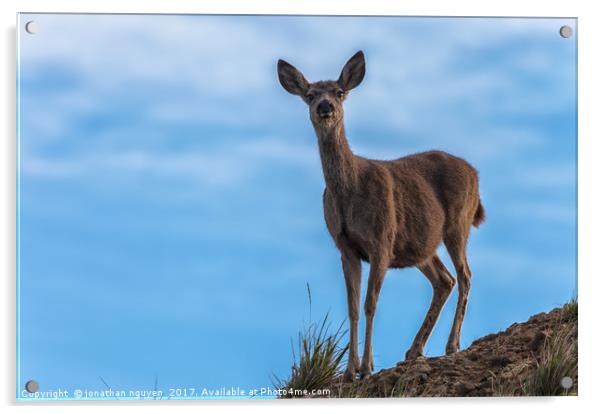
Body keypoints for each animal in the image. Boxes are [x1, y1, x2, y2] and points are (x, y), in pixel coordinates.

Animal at [276, 50, 482, 380]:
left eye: (339, 92)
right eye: (309, 95)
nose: (325, 106)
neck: (349, 190)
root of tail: (474, 173)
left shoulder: (381, 241)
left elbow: (370, 303)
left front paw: (366, 367)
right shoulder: (346, 247)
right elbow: (352, 307)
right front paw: (350, 372)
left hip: (458, 223)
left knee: (465, 275)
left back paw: (452, 345)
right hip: (420, 244)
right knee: (444, 280)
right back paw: (413, 351)